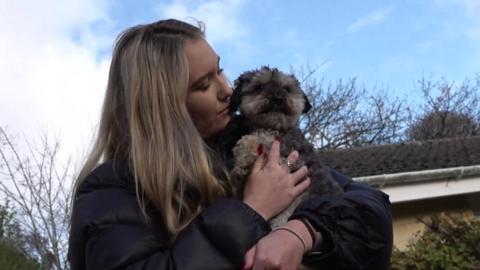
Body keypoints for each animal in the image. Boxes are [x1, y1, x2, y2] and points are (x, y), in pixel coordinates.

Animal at [227, 65, 344, 228]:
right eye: (259, 87)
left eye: (286, 89)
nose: (278, 98)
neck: (275, 127)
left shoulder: (292, 157)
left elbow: (255, 139)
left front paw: (242, 162)